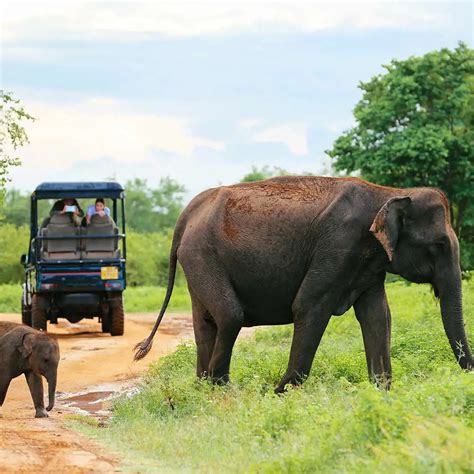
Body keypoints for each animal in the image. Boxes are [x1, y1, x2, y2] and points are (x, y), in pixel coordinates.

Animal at [135, 176, 472, 390]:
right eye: (438, 246)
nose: (466, 376)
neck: (389, 192)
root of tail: (186, 213)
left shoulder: (368, 263)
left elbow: (378, 316)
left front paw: (381, 392)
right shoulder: (338, 246)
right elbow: (309, 307)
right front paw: (278, 393)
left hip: (197, 260)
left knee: (207, 322)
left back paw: (203, 389)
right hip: (203, 256)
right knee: (230, 316)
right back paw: (222, 389)